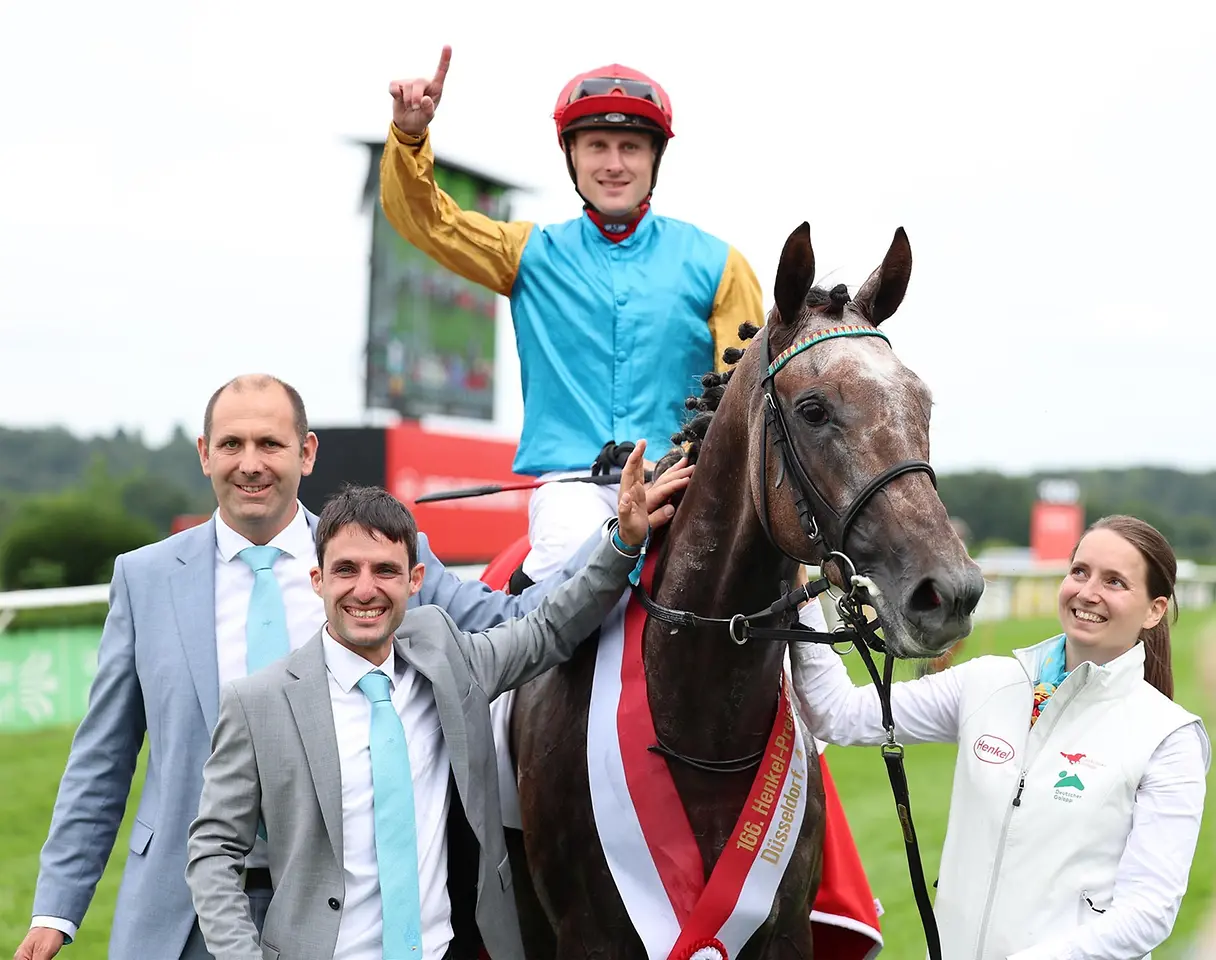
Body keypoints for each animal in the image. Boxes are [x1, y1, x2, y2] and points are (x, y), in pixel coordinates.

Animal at [498, 221, 982, 953]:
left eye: (921, 402)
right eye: (812, 409)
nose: (948, 592)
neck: (702, 730)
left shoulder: (784, 932)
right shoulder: (589, 937)